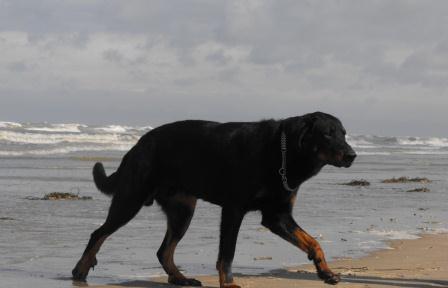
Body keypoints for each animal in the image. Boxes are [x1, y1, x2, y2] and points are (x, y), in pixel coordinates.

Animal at [72, 111, 356, 286]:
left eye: (344, 133)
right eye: (327, 133)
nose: (352, 155)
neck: (282, 153)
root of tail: (137, 145)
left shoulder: (278, 216)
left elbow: (313, 242)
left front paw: (325, 271)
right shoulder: (234, 210)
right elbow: (227, 253)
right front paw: (228, 283)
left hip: (182, 212)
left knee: (164, 251)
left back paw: (181, 279)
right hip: (130, 200)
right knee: (98, 233)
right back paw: (80, 270)